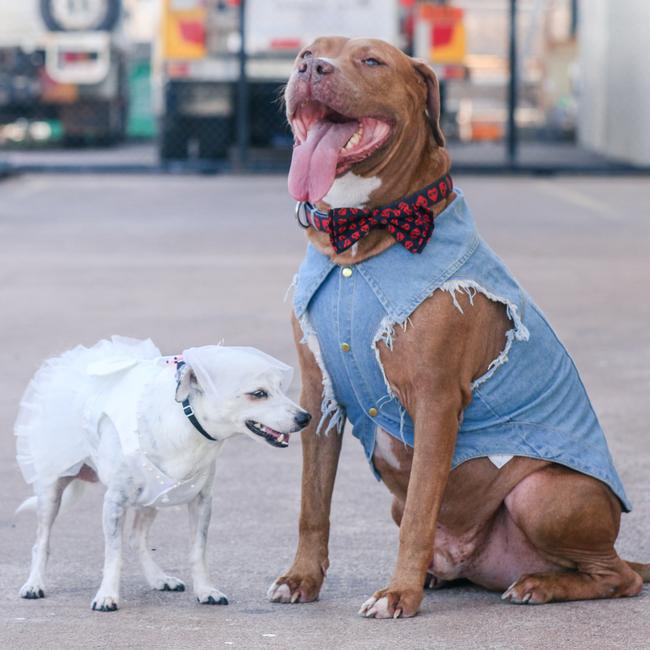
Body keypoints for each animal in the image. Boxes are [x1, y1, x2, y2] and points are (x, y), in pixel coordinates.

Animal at [15, 336, 308, 612]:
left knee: (137, 538)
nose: (306, 417)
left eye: (280, 388)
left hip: (153, 496)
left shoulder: (202, 501)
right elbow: (114, 554)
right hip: (51, 490)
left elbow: (197, 552)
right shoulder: (114, 502)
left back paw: (159, 578)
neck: (185, 424)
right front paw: (107, 595)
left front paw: (205, 590)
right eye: (258, 393)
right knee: (42, 540)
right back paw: (34, 584)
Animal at [266, 36, 644, 616]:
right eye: (308, 52)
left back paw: (538, 584)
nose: (312, 67)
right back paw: (445, 575)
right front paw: (300, 578)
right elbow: (313, 502)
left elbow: (421, 508)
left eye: (372, 60)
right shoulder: (320, 395)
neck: (359, 238)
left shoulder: (436, 400)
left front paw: (398, 593)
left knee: (617, 576)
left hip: (544, 496)